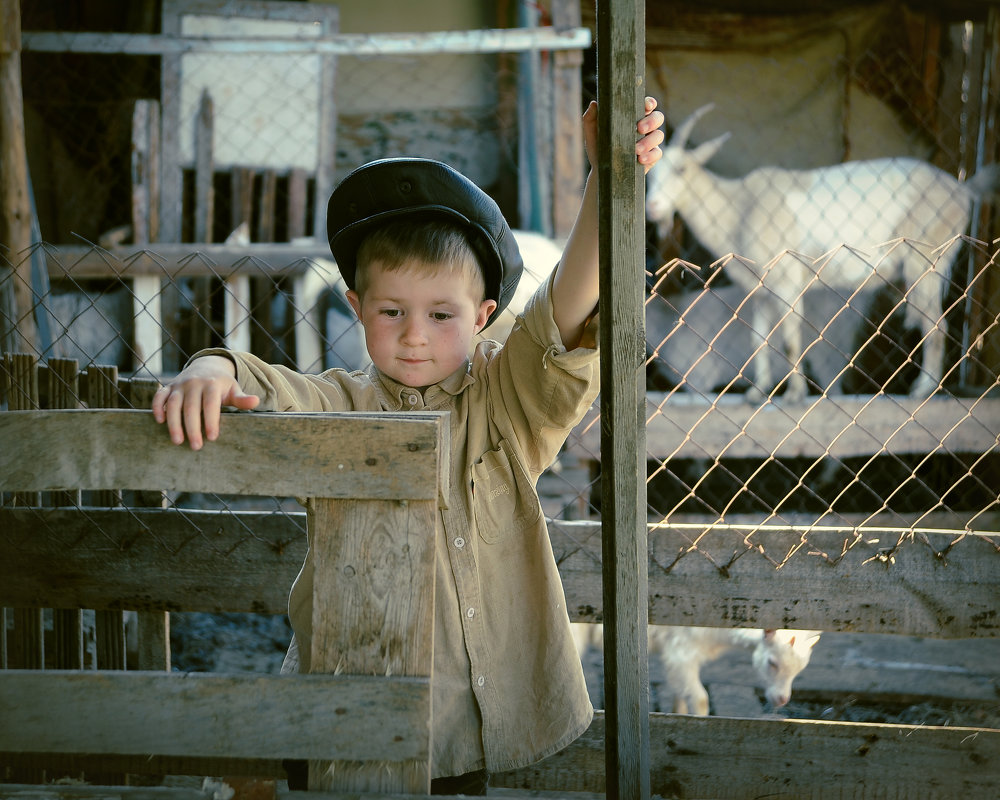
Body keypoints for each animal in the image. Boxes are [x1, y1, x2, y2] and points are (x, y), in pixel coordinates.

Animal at [644, 105, 996, 404]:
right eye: (651, 173)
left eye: (681, 169)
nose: (654, 207)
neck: (740, 207)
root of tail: (963, 189)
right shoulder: (759, 290)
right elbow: (760, 339)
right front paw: (757, 394)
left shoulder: (787, 281)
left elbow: (790, 337)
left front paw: (795, 395)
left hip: (925, 262)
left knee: (937, 323)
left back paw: (923, 390)